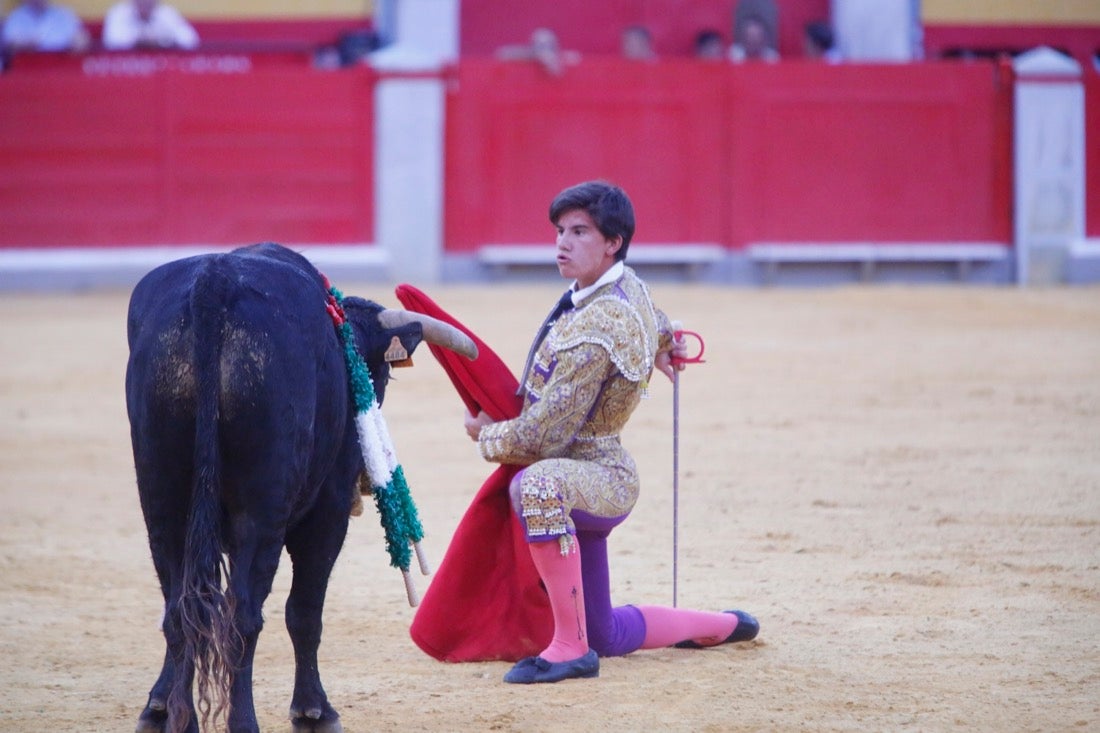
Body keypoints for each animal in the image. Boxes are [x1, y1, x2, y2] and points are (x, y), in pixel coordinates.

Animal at [125, 242, 477, 726]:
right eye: (379, 376)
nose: (362, 485)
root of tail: (213, 282)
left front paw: (157, 705)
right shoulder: (328, 510)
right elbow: (306, 610)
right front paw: (315, 711)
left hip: (161, 498)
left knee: (180, 607)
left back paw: (179, 718)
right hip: (263, 509)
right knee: (243, 614)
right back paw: (244, 721)